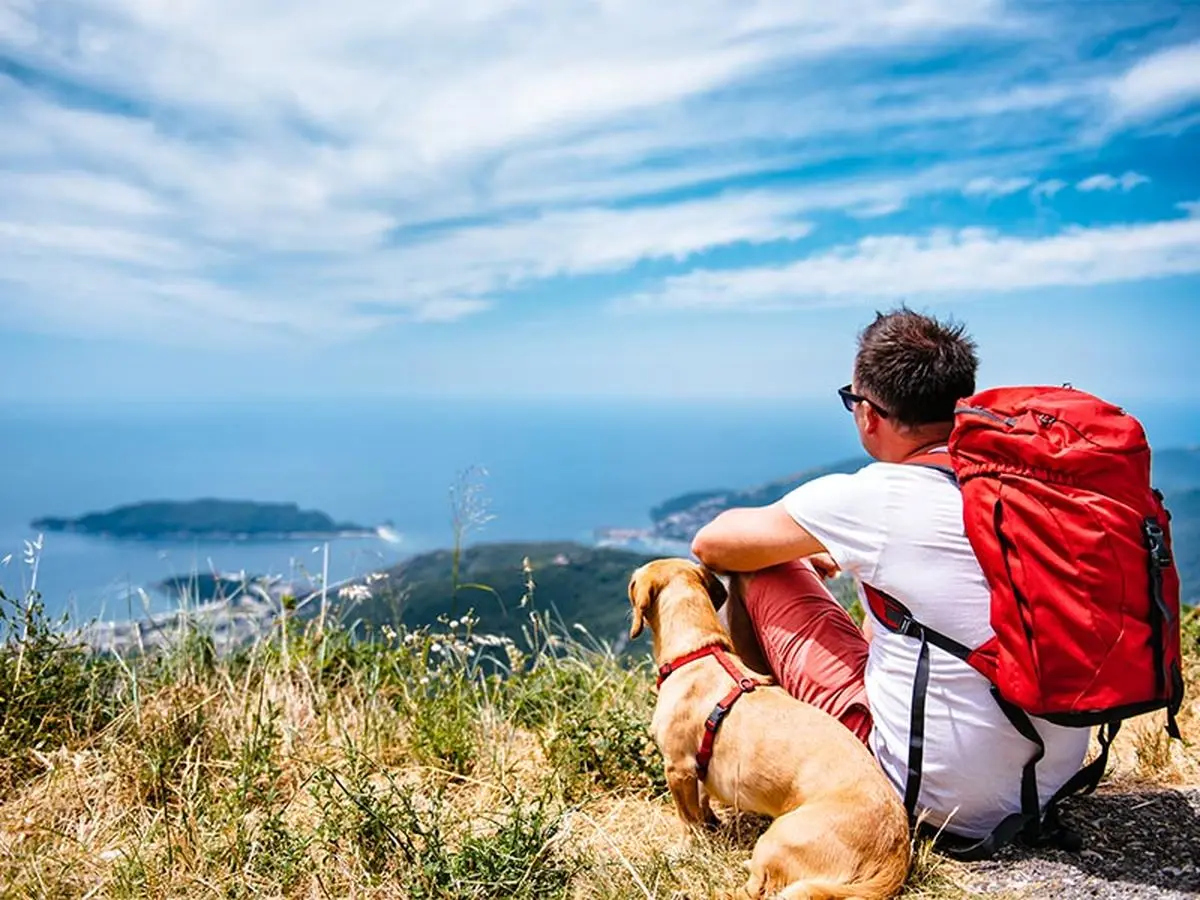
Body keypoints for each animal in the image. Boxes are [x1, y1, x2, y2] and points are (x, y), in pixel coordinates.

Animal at [628, 561, 907, 897]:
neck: (699, 652)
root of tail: (894, 852)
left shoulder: (677, 767)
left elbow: (687, 819)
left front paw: (685, 849)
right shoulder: (694, 770)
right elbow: (702, 805)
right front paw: (711, 825)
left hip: (778, 838)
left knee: (754, 890)